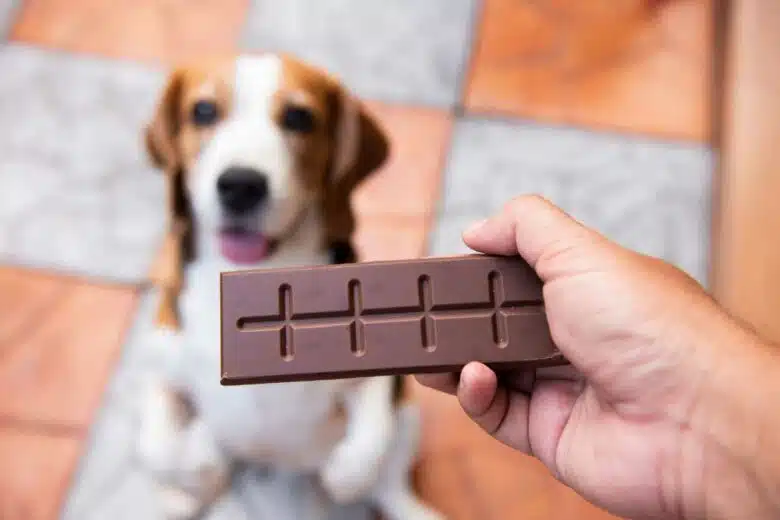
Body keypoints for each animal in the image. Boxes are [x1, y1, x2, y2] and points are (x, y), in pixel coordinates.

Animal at [134, 53, 444, 520]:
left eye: (299, 117)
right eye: (203, 111)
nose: (241, 184)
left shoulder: (378, 374)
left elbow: (370, 441)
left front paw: (346, 477)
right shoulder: (164, 366)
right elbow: (158, 449)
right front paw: (195, 471)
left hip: (409, 418)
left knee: (389, 480)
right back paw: (187, 491)